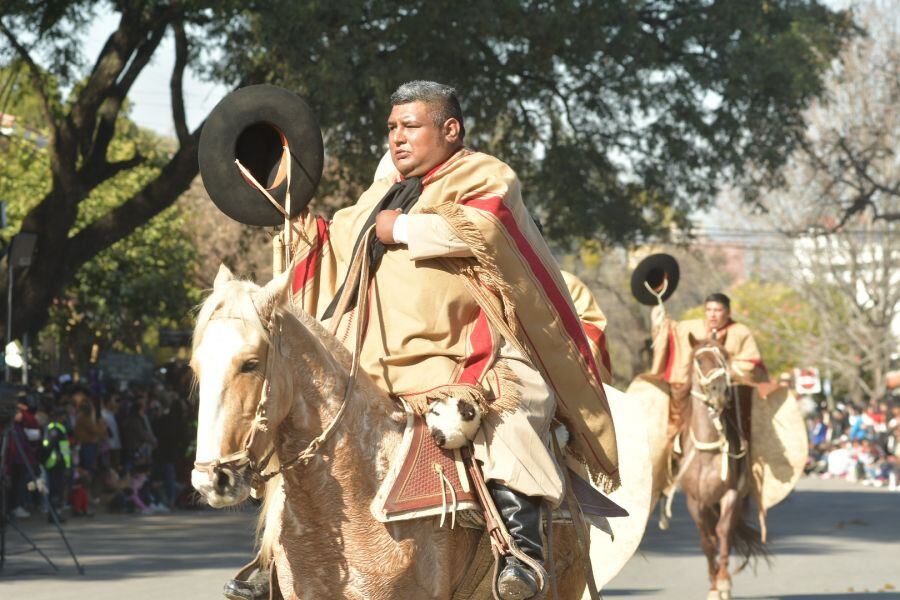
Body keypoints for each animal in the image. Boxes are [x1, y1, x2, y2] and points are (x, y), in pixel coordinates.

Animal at [668, 336, 768, 596]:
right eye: (700, 360)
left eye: (724, 358)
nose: (720, 391)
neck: (708, 452)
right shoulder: (695, 500)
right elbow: (706, 540)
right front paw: (713, 586)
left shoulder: (730, 494)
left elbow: (724, 533)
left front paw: (722, 582)